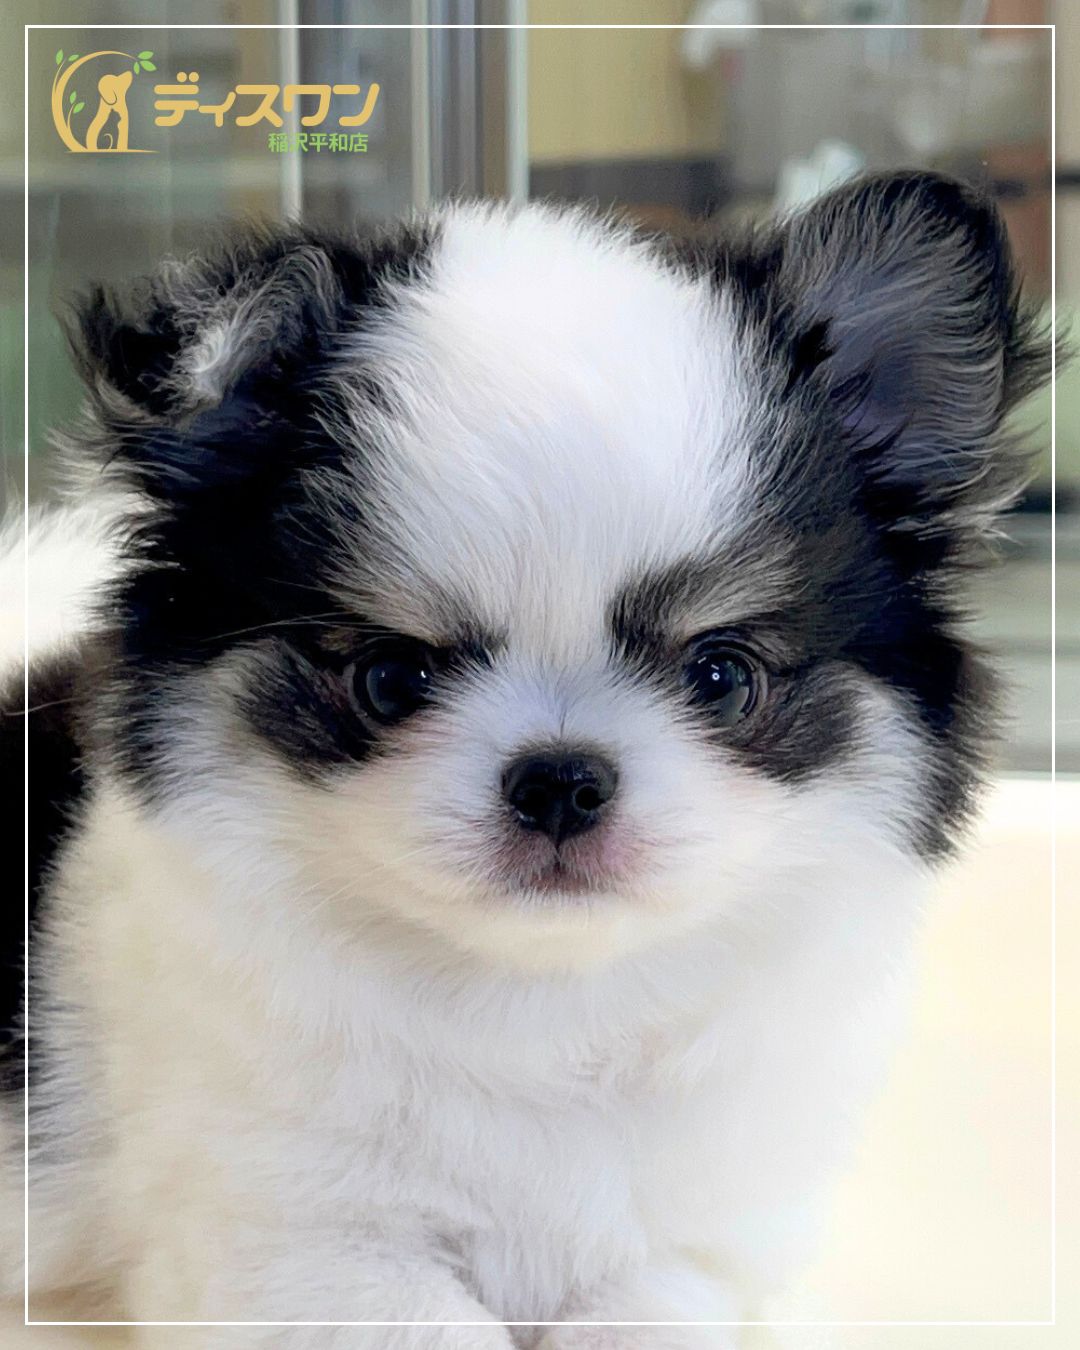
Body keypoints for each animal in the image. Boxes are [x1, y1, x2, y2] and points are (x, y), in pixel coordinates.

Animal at [0, 172, 1049, 1346]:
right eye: (391, 678)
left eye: (722, 676)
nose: (560, 776)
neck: (542, 1008)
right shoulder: (299, 1250)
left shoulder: (696, 1249)